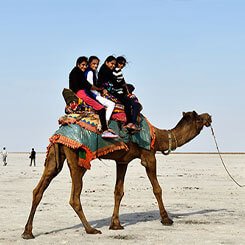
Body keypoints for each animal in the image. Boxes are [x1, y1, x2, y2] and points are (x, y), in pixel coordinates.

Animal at [22, 111, 212, 239]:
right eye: (198, 118)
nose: (209, 116)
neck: (158, 137)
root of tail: (59, 133)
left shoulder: (122, 161)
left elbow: (118, 192)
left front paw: (116, 224)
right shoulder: (148, 156)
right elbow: (157, 189)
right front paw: (166, 219)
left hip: (55, 157)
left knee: (38, 190)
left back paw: (27, 232)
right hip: (77, 157)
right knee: (74, 197)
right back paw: (91, 229)